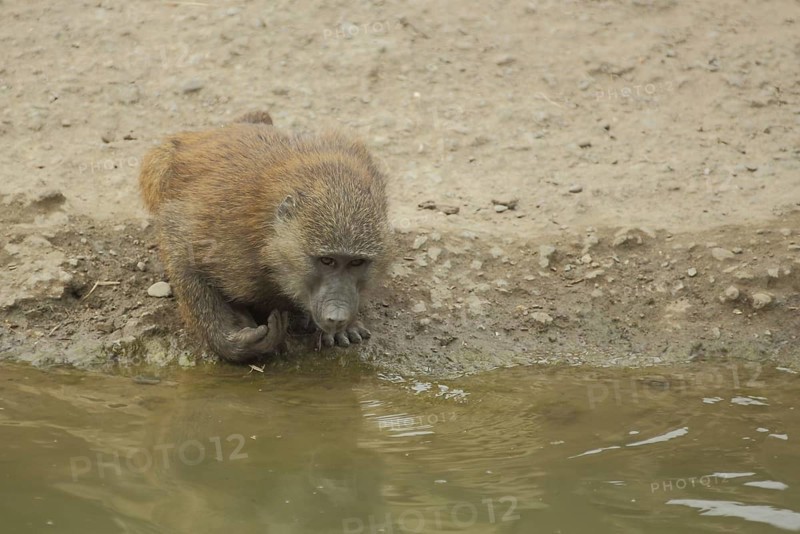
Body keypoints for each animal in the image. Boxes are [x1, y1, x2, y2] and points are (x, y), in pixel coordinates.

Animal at [138, 111, 392, 363]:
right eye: (327, 261)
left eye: (356, 262)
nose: (337, 317)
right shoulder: (224, 234)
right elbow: (179, 243)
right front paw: (231, 340)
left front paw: (344, 328)